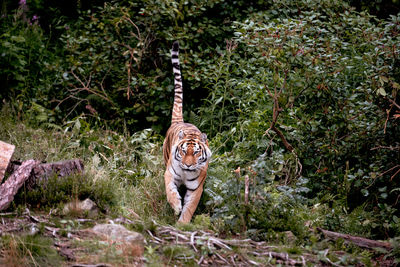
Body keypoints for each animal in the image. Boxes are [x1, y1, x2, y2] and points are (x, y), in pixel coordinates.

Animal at [162, 40, 212, 224]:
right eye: (183, 151)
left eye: (196, 153)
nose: (188, 165)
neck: (186, 173)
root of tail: (180, 121)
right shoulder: (169, 174)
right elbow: (170, 191)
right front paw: (176, 205)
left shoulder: (197, 188)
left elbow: (190, 208)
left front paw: (182, 224)